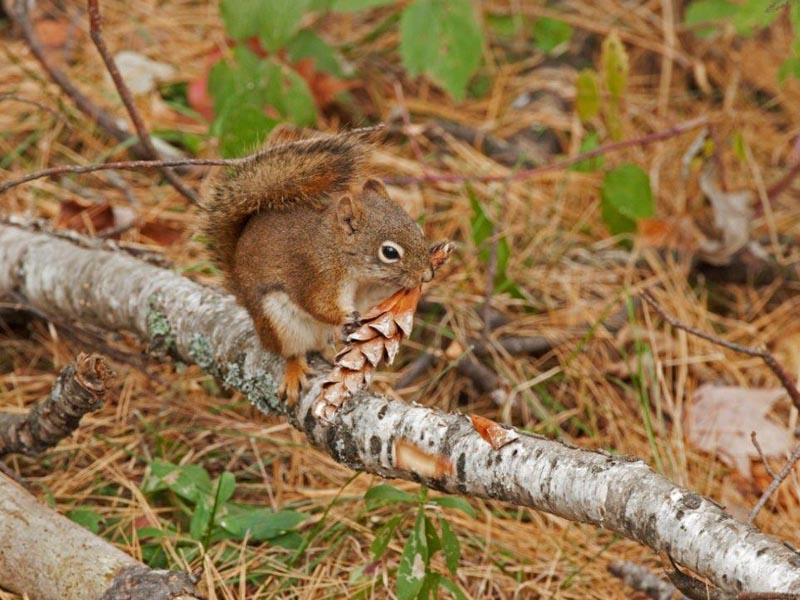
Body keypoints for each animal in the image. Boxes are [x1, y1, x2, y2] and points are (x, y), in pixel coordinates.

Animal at [200, 127, 436, 405]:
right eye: (389, 252)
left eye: (418, 228)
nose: (427, 274)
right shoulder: (315, 272)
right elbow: (317, 304)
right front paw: (345, 316)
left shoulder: (368, 288)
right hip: (278, 322)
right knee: (291, 351)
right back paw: (295, 370)